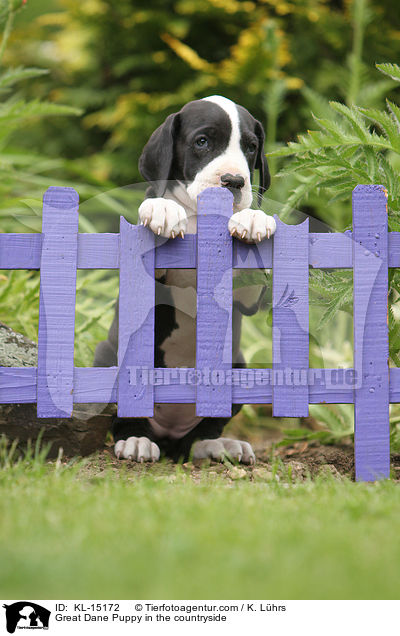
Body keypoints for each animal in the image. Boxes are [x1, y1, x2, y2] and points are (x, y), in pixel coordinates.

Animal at [93, 93, 276, 462]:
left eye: (250, 147)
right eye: (202, 142)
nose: (234, 182)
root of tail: (167, 434)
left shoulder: (246, 299)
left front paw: (253, 218)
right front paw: (162, 209)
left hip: (239, 367)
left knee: (199, 434)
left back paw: (218, 445)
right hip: (108, 355)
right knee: (124, 417)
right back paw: (136, 440)